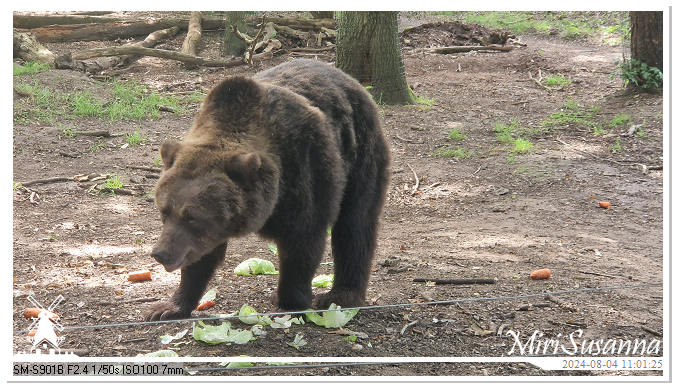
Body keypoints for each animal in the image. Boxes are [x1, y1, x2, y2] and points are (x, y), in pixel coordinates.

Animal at [147, 57, 394, 318]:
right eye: (164, 211)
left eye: (192, 216)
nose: (160, 253)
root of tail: (349, 79)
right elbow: (200, 256)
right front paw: (169, 307)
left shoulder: (304, 171)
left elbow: (303, 241)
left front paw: (291, 300)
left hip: (360, 153)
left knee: (355, 223)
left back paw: (342, 294)